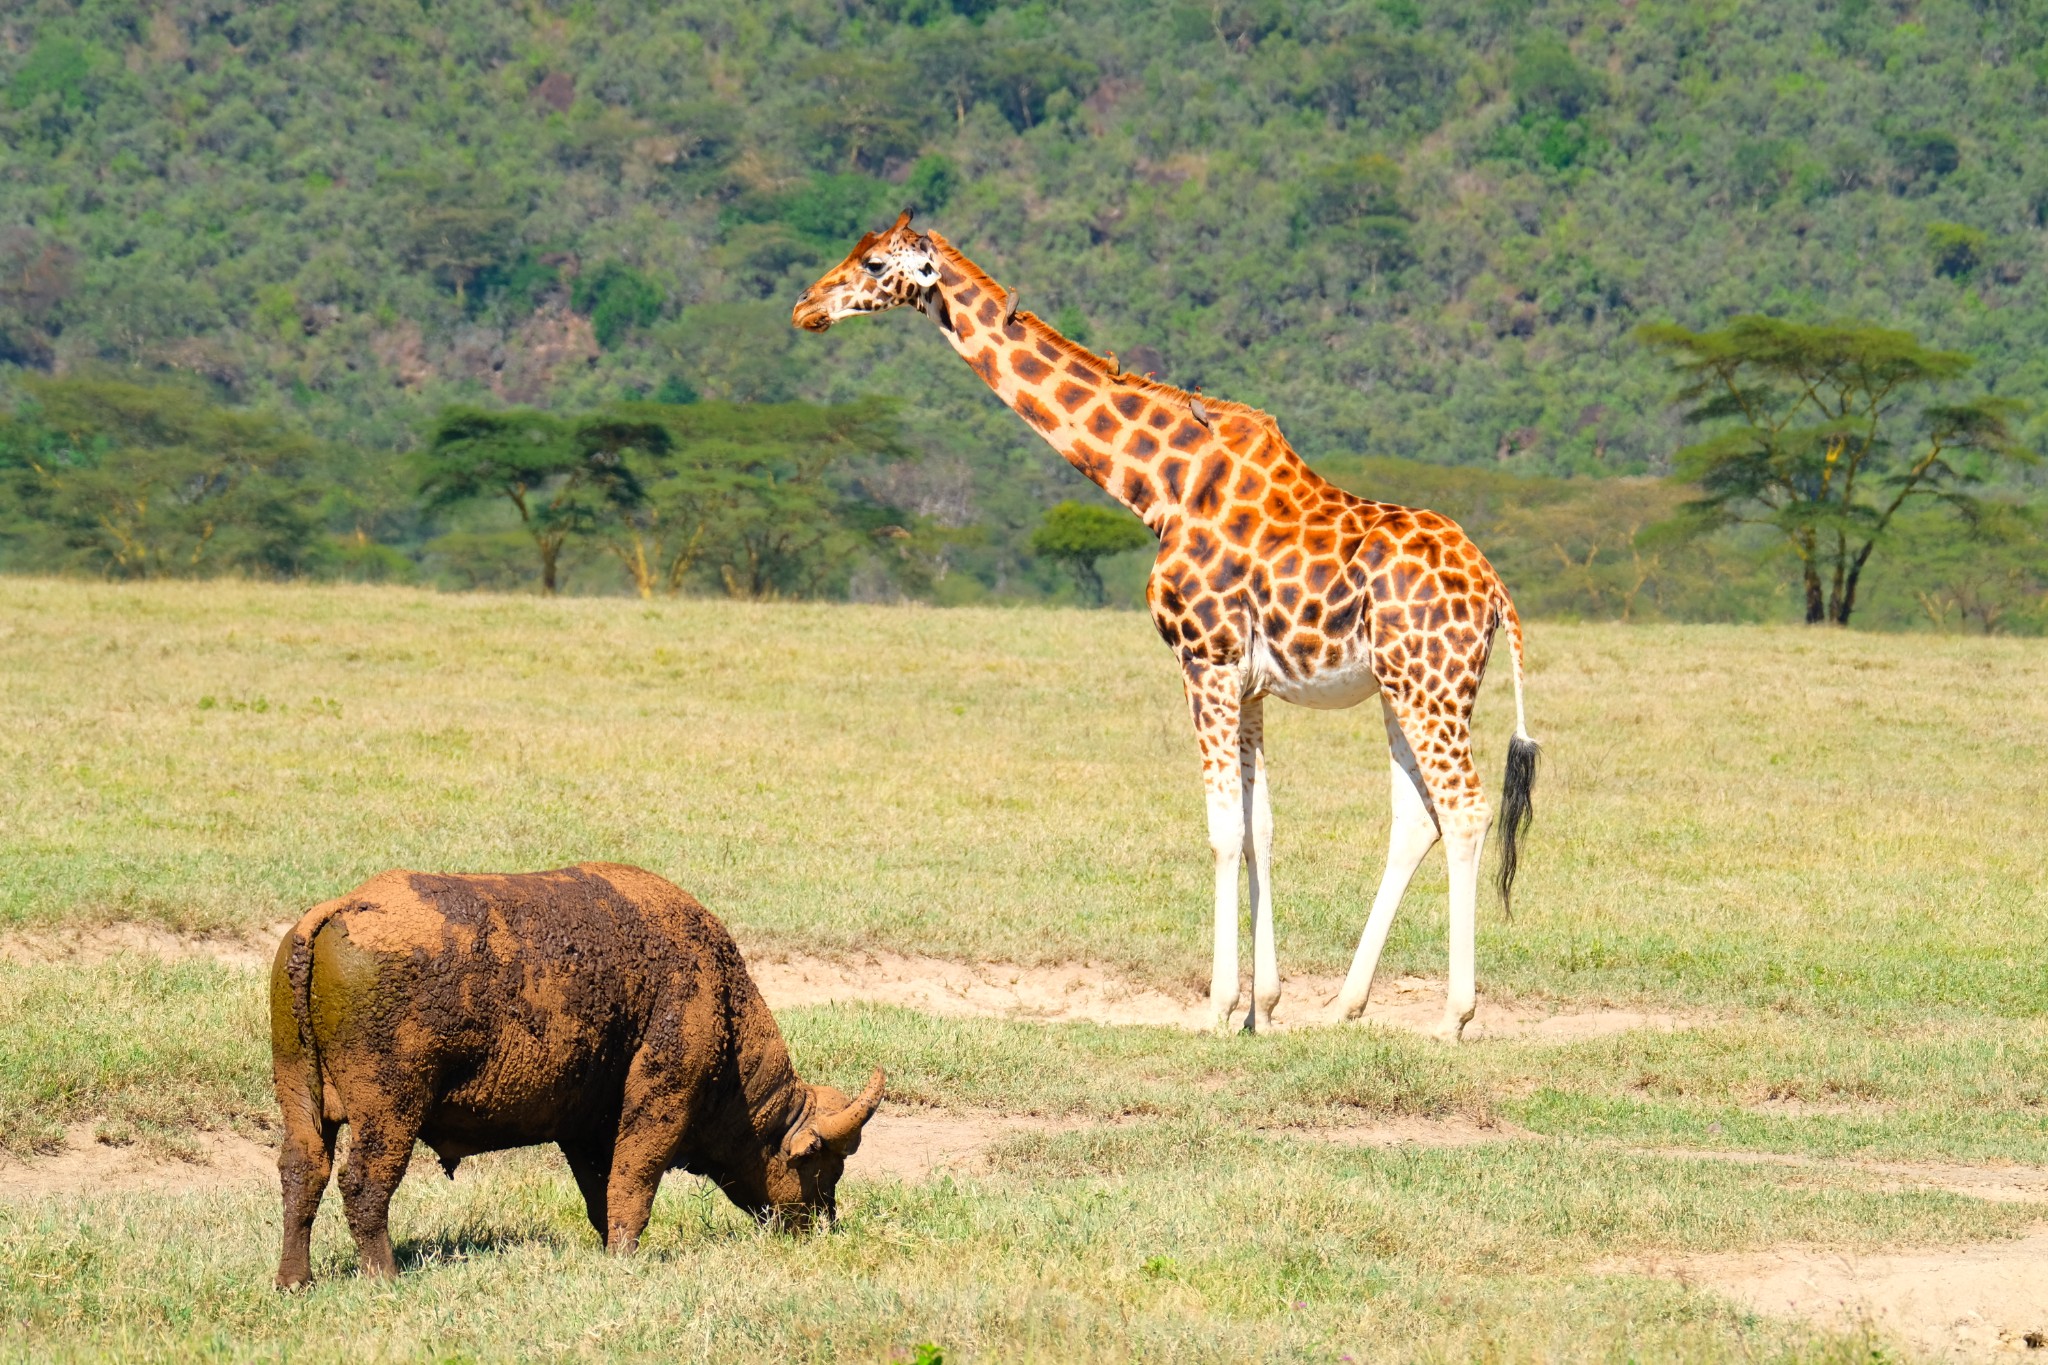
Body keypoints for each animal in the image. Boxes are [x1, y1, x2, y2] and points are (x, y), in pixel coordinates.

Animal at [272, 863, 880, 1293]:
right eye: (823, 1165)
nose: (823, 1224)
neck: (720, 995)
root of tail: (334, 911)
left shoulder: (585, 1131)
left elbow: (601, 1192)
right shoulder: (659, 1104)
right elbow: (634, 1182)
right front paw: (625, 1259)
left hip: (301, 1100)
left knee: (305, 1172)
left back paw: (294, 1281)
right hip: (390, 1113)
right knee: (363, 1183)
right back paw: (386, 1276)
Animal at [790, 213, 1540, 1039]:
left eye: (874, 263)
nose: (805, 307)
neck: (1159, 486)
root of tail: (1497, 593)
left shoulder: (1203, 661)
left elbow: (1221, 829)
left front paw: (1217, 1007)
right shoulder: (1247, 683)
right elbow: (1259, 826)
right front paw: (1264, 1008)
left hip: (1428, 685)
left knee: (1466, 807)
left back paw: (1453, 1017)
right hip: (1402, 688)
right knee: (1417, 816)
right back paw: (1344, 1003)